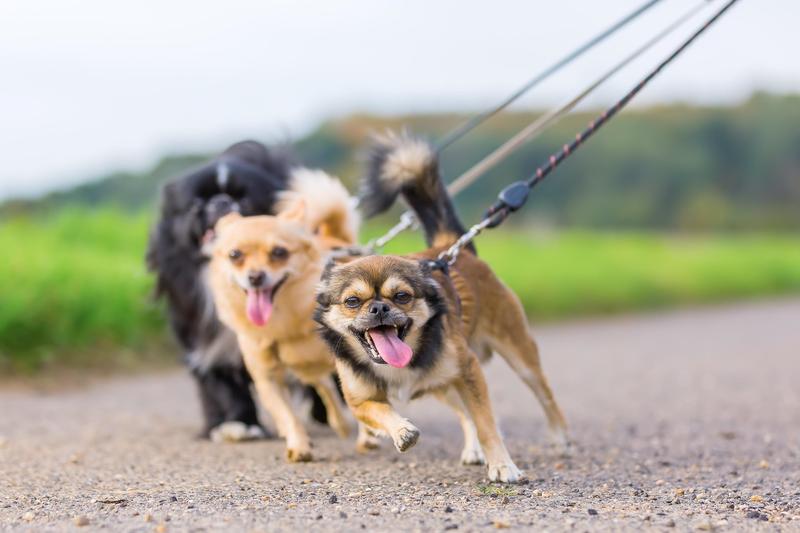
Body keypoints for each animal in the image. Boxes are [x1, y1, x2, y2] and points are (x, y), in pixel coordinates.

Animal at [147, 139, 324, 438]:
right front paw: (239, 424)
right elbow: (226, 388)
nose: (221, 202)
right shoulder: (211, 347)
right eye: (196, 203)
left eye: (244, 200)